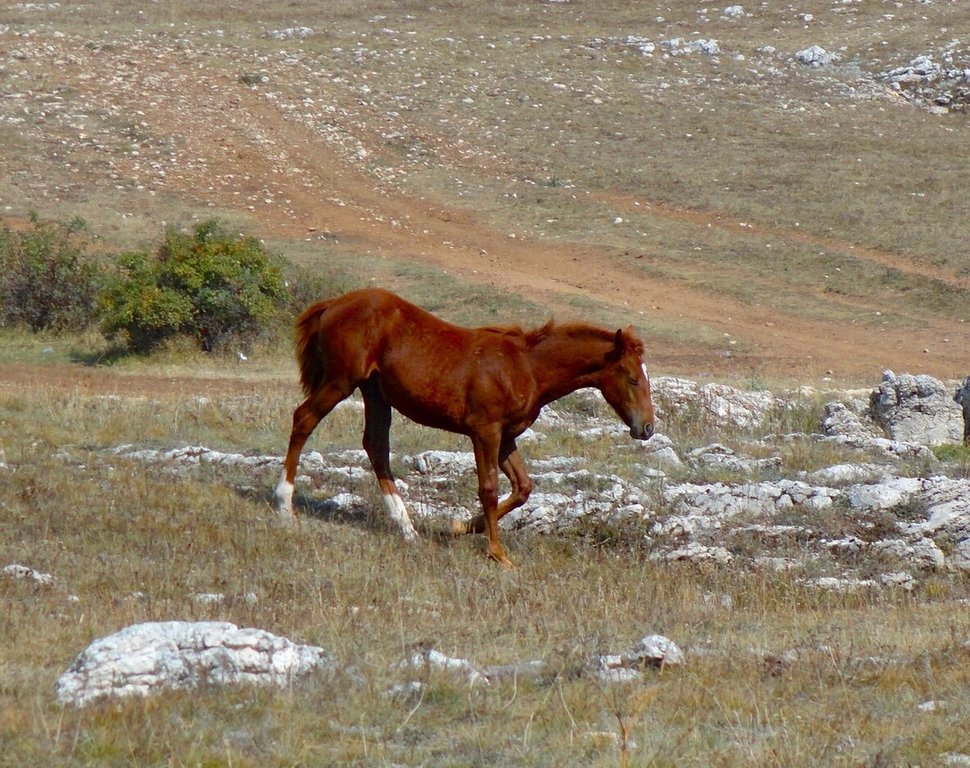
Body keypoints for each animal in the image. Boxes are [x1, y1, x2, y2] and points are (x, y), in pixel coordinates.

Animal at [272, 288, 656, 564]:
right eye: (633, 378)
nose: (648, 428)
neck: (526, 367)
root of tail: (333, 304)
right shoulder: (485, 432)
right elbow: (489, 488)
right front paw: (498, 554)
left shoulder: (506, 437)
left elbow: (522, 488)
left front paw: (457, 527)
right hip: (340, 381)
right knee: (304, 420)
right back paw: (284, 504)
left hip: (375, 392)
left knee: (376, 446)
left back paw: (407, 529)